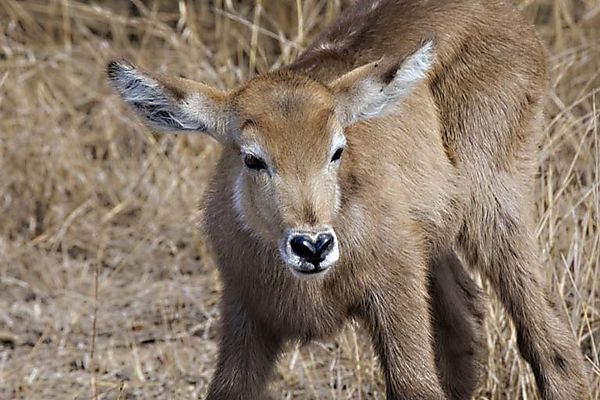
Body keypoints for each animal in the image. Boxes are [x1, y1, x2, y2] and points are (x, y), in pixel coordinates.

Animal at [105, 0, 588, 398]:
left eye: (337, 149)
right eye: (252, 158)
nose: (312, 246)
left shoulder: (396, 299)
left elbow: (415, 385)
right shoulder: (245, 314)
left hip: (492, 207)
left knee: (551, 344)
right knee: (466, 324)